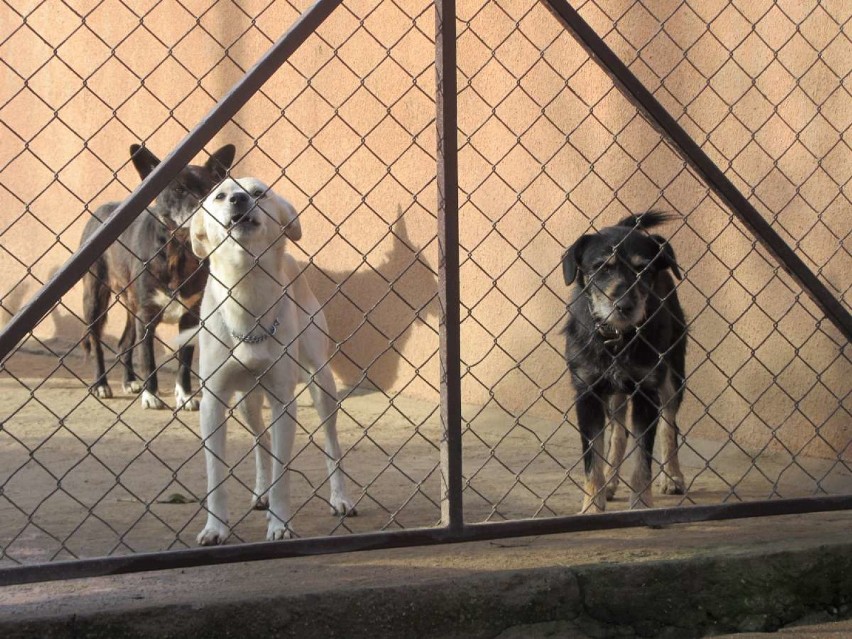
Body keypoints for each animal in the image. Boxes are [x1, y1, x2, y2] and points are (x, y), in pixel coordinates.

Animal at [82, 144, 235, 410]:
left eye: (210, 191)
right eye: (178, 189)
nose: (201, 210)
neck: (178, 251)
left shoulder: (190, 318)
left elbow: (184, 363)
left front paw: (185, 395)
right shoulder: (146, 318)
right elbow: (148, 360)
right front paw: (151, 395)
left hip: (130, 306)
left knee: (124, 344)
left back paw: (130, 381)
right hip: (95, 299)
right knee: (97, 343)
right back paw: (101, 384)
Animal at [189, 176, 356, 544]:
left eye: (258, 193)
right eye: (219, 196)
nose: (238, 200)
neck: (246, 290)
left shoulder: (283, 401)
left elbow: (283, 473)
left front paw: (280, 524)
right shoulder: (213, 403)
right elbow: (215, 476)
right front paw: (215, 528)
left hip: (321, 384)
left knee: (332, 445)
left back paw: (340, 497)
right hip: (245, 402)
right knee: (260, 439)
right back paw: (260, 492)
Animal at [564, 212, 688, 512]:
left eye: (643, 270)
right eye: (600, 267)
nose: (623, 305)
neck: (617, 337)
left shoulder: (647, 393)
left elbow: (643, 459)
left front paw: (641, 505)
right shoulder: (587, 394)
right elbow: (593, 458)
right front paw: (591, 505)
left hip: (673, 377)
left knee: (669, 423)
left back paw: (673, 477)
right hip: (614, 394)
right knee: (618, 432)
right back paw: (610, 482)